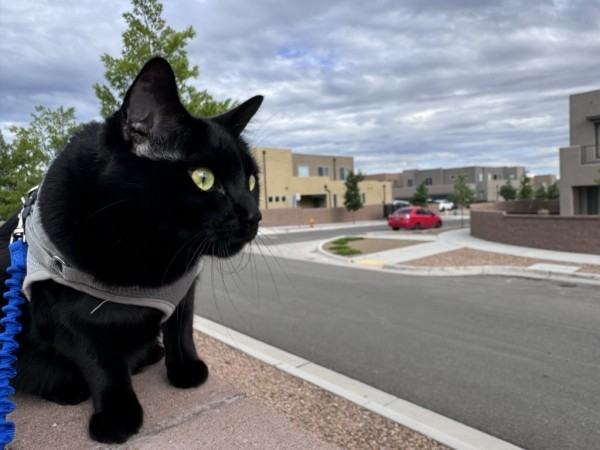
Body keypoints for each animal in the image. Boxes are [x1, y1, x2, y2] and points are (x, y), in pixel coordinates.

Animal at [0, 56, 262, 442]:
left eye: (252, 180)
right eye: (203, 178)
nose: (254, 214)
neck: (153, 252)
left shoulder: (185, 289)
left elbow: (181, 329)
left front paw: (185, 370)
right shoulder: (68, 313)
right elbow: (100, 362)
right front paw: (117, 416)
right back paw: (68, 388)